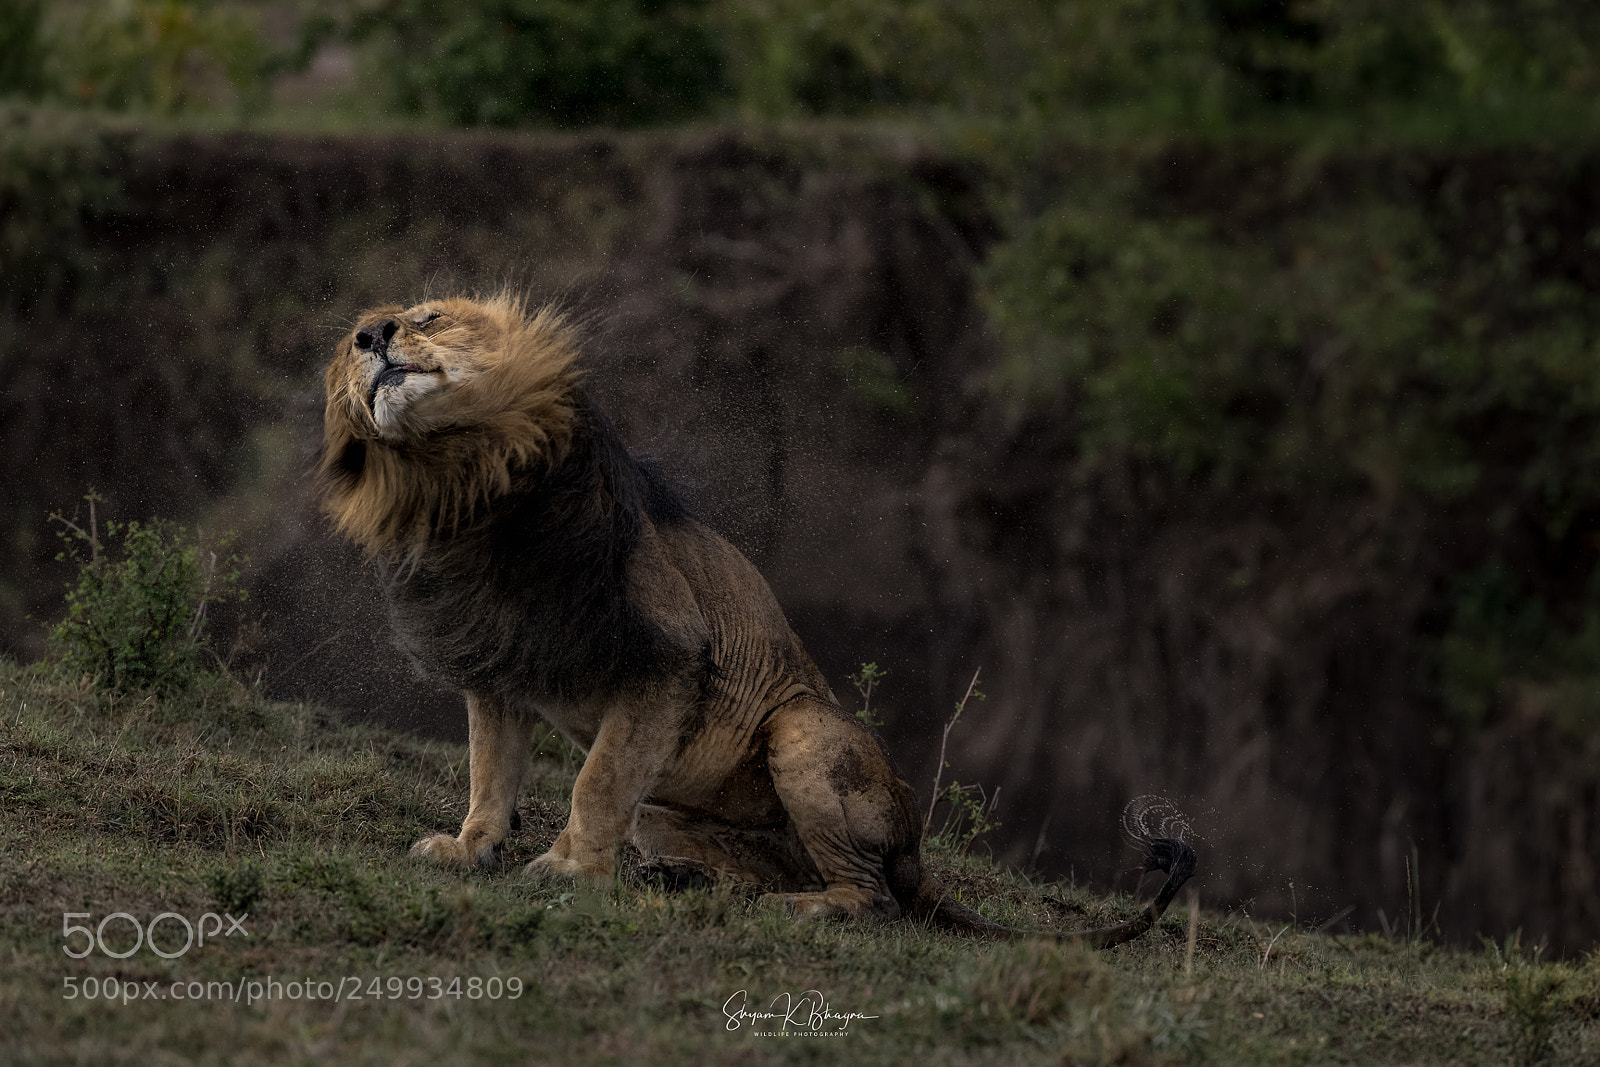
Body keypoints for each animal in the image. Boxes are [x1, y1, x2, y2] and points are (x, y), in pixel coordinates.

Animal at [318, 293, 1195, 944]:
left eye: (429, 315)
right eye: (355, 338)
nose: (372, 335)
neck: (463, 485)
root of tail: (917, 852)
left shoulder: (666, 654)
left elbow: (597, 779)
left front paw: (568, 870)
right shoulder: (495, 661)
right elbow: (489, 770)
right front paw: (471, 849)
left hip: (803, 732)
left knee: (872, 897)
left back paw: (795, 908)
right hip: (668, 814)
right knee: (764, 861)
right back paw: (686, 877)